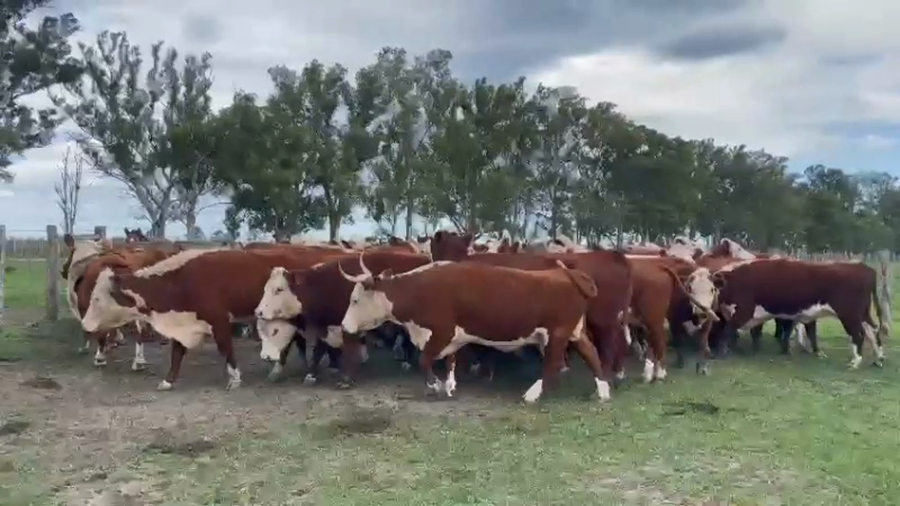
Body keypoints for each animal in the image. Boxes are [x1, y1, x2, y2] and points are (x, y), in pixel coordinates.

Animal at [79, 246, 352, 390]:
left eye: (97, 299)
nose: (84, 323)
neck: (180, 281)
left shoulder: (219, 321)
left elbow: (226, 349)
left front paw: (235, 378)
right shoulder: (184, 323)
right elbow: (177, 353)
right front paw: (168, 380)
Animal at [254, 251, 432, 385]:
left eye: (279, 289)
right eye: (265, 289)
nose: (258, 311)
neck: (323, 286)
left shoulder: (349, 324)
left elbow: (348, 348)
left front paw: (346, 377)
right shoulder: (325, 326)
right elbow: (321, 348)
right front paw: (313, 373)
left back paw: (408, 362)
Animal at [338, 256, 610, 403]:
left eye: (355, 300)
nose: (344, 326)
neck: (418, 289)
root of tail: (566, 272)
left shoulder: (442, 331)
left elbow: (425, 360)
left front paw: (435, 385)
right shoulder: (450, 338)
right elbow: (449, 361)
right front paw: (449, 386)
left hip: (557, 334)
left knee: (553, 363)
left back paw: (532, 394)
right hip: (575, 331)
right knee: (591, 354)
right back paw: (603, 393)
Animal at [711, 258, 889, 369]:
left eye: (710, 287)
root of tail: (863, 267)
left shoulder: (744, 311)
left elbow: (728, 331)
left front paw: (722, 353)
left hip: (849, 314)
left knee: (859, 334)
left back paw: (855, 362)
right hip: (862, 313)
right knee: (873, 331)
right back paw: (878, 359)